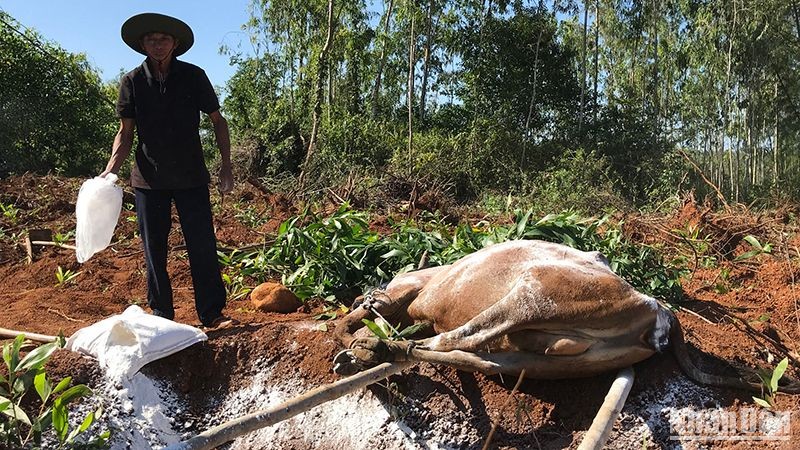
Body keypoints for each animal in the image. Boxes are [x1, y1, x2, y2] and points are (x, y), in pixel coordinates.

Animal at [334, 241, 800, 392]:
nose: (359, 302)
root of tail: (662, 312)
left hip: (533, 292)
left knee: (454, 341)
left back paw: (372, 347)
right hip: (539, 360)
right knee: (471, 355)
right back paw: (373, 350)